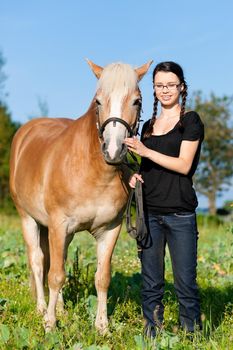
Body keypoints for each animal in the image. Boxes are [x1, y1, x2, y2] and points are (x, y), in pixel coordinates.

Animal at [9, 58, 152, 332]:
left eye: (137, 101)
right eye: (98, 101)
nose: (114, 150)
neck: (92, 170)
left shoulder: (110, 229)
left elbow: (102, 277)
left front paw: (102, 327)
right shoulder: (58, 224)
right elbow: (54, 275)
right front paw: (50, 325)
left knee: (59, 259)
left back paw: (62, 310)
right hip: (28, 219)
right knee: (38, 261)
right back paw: (42, 308)